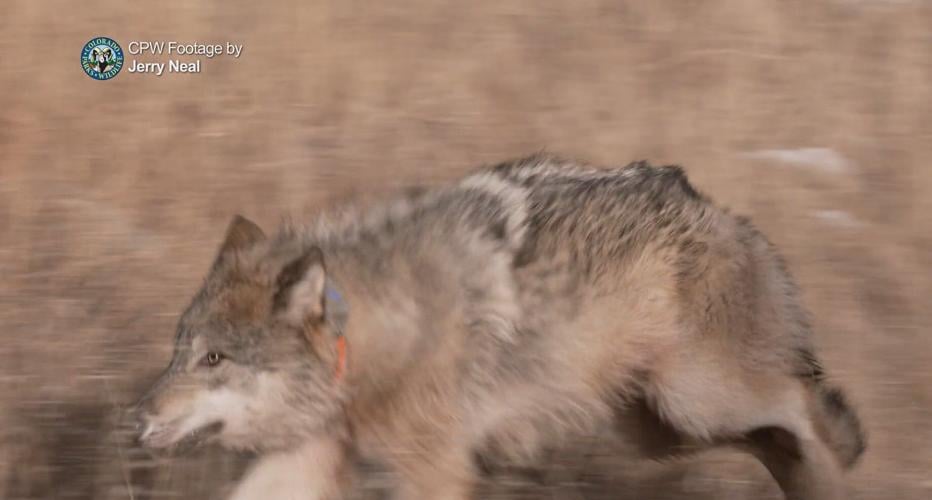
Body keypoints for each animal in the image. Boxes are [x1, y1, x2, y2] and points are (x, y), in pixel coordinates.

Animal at [134, 154, 865, 500]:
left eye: (215, 360)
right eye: (178, 353)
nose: (138, 419)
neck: (374, 340)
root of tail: (717, 209)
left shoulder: (437, 471)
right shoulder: (309, 460)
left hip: (694, 401)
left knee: (812, 412)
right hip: (657, 429)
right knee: (778, 437)